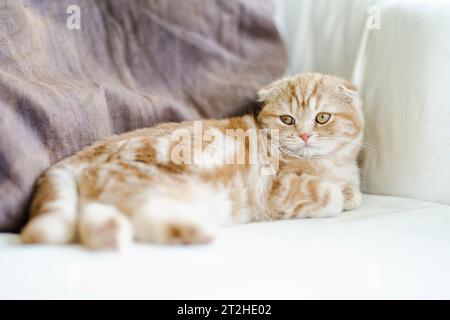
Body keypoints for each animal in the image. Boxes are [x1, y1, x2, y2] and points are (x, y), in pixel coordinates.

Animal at [22, 73, 366, 250]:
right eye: (288, 120)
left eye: (322, 118)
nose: (305, 135)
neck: (328, 165)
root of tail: (82, 156)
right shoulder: (278, 192)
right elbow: (330, 196)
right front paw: (337, 193)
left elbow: (352, 193)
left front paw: (349, 190)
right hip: (147, 183)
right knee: (137, 214)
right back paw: (193, 232)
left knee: (97, 221)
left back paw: (114, 235)